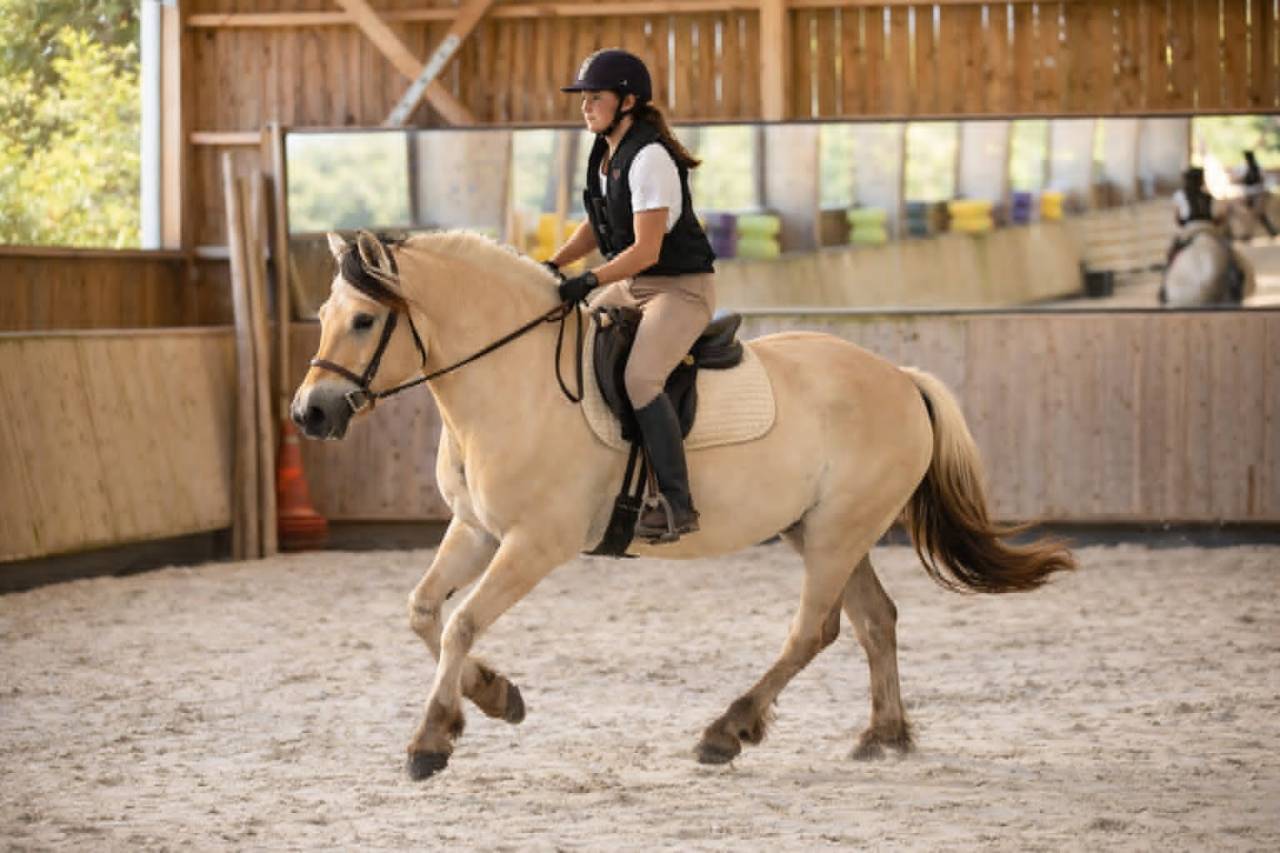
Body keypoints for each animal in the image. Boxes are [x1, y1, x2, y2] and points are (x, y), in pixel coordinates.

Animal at [291, 229, 1076, 781]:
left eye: (364, 321)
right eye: (326, 314)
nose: (309, 413)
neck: (510, 381)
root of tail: (901, 377)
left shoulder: (535, 543)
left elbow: (460, 623)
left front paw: (430, 741)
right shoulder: (476, 529)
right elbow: (425, 613)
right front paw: (494, 696)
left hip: (837, 530)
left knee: (812, 631)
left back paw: (726, 731)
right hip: (820, 528)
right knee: (873, 621)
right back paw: (883, 736)